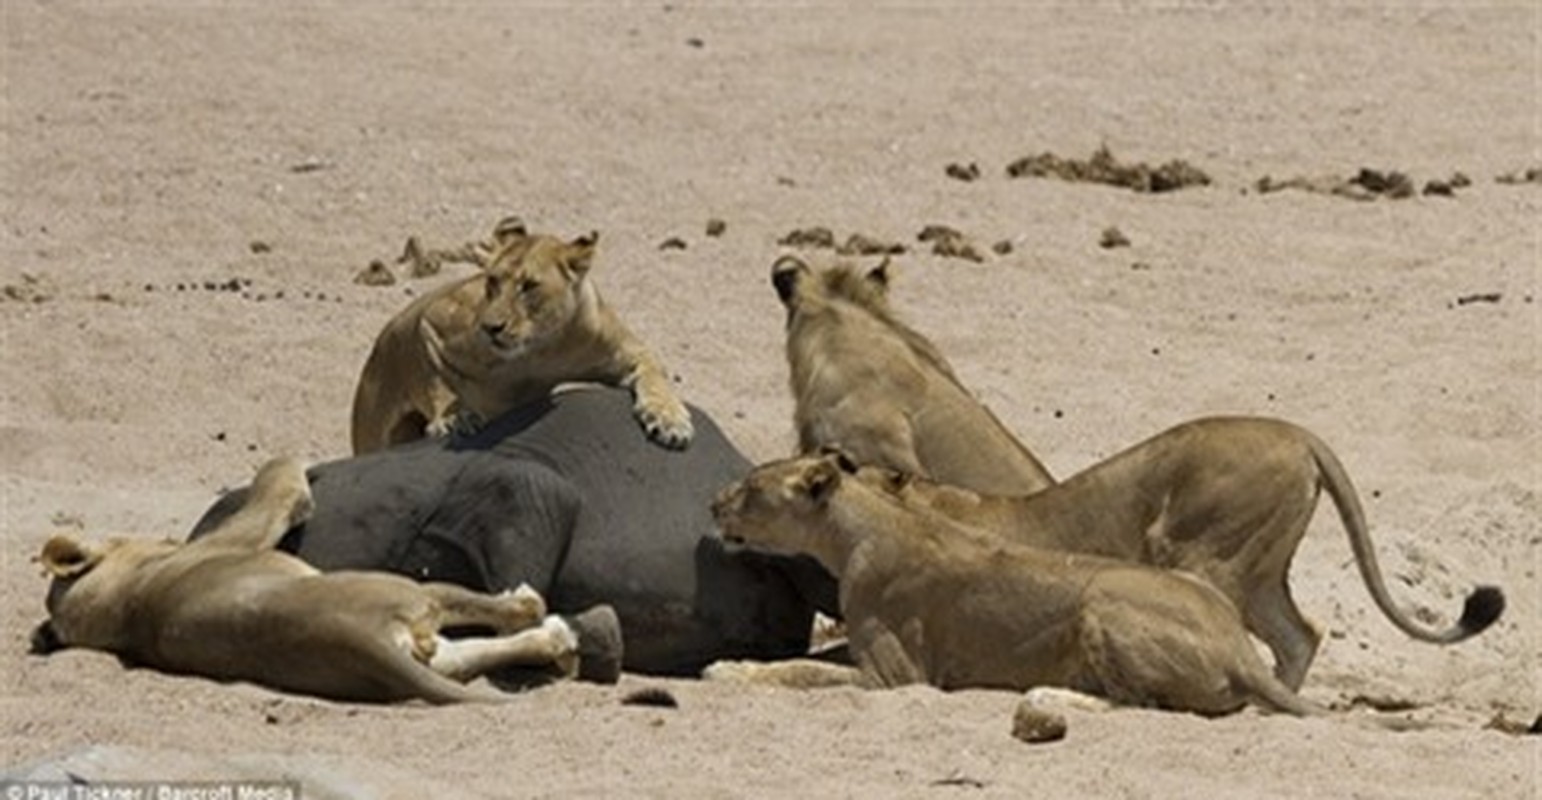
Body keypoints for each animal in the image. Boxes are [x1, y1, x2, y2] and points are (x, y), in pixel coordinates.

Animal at [31, 459, 595, 705]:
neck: (125, 603)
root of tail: (356, 638)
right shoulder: (250, 528)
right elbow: (279, 478)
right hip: (409, 589)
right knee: (507, 613)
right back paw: (541, 616)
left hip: (429, 654)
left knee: (481, 652)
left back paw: (556, 640)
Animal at [353, 225, 690, 456]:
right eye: (492, 281)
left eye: (528, 286)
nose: (491, 328)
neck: (545, 347)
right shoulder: (434, 320)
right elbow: (435, 379)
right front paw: (451, 419)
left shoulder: (624, 350)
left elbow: (654, 376)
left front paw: (669, 419)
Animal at [706, 453, 1332, 724]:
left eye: (753, 488)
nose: (712, 503)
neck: (855, 528)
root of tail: (1238, 650)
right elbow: (812, 661)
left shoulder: (897, 675)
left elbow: (804, 673)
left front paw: (728, 670)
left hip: (1103, 596)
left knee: (1140, 704)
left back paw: (1045, 697)